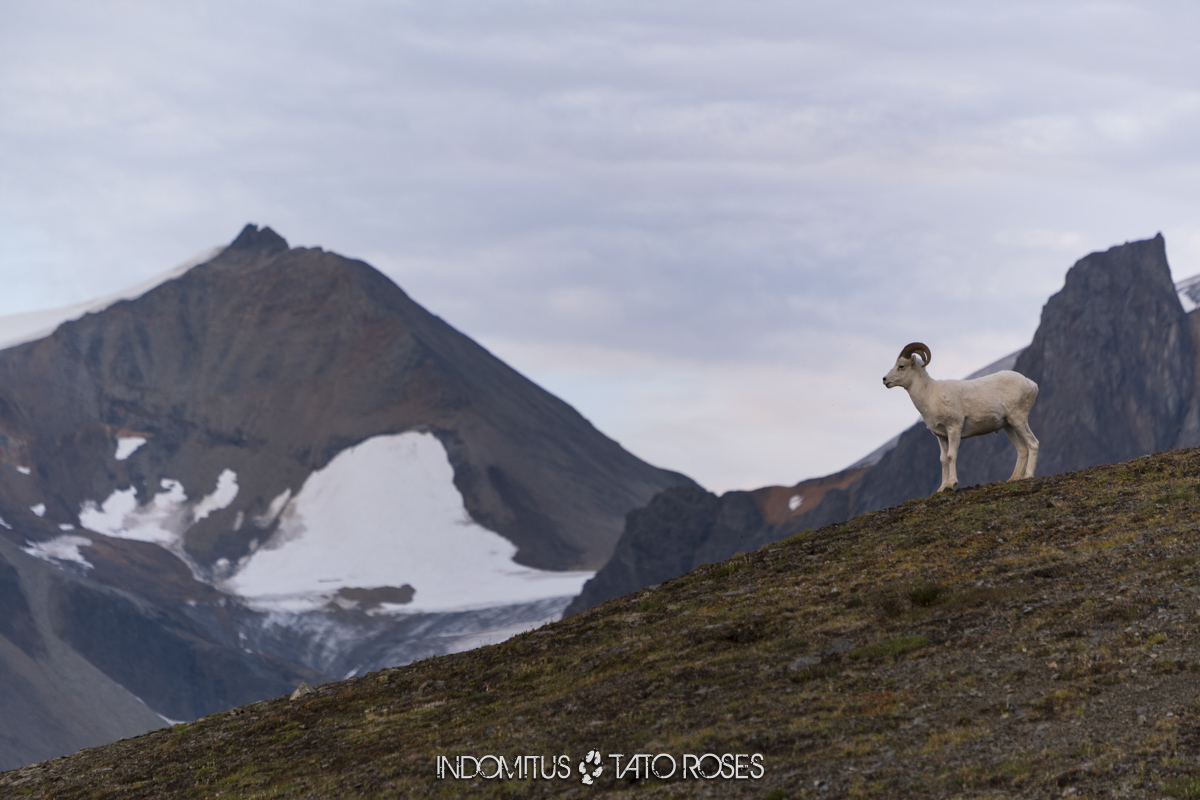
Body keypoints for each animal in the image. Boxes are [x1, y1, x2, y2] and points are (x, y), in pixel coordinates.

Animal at [883, 345, 1041, 494]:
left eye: (901, 366)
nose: (884, 380)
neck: (929, 395)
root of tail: (1032, 384)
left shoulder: (954, 428)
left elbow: (951, 456)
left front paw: (951, 484)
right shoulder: (941, 436)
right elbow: (943, 460)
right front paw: (941, 488)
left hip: (1018, 420)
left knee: (1033, 443)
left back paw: (1027, 476)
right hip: (1008, 426)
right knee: (1022, 449)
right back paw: (1013, 478)